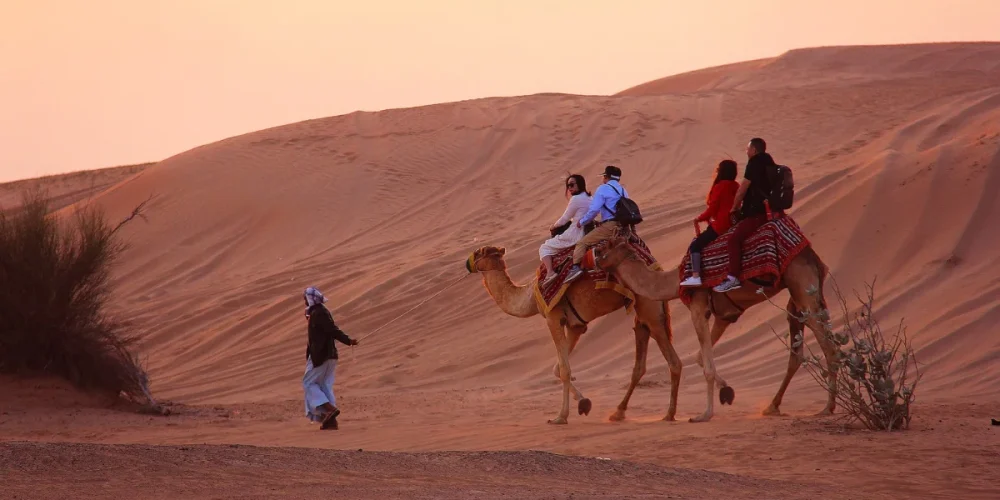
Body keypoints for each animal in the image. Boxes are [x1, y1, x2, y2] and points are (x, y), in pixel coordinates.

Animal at [464, 246, 682, 425]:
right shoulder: (576, 325)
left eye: (478, 252)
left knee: (673, 361)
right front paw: (584, 403)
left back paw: (669, 414)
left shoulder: (553, 318)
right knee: (640, 363)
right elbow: (557, 368)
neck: (530, 297)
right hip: (643, 313)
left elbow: (564, 369)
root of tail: (658, 269)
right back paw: (618, 413)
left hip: (649, 308)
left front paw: (560, 417)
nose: (467, 264)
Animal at [592, 236, 836, 423]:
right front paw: (726, 391)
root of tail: (812, 255)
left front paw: (705, 414)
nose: (592, 255)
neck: (675, 281)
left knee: (828, 346)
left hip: (801, 285)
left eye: (605, 245)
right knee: (798, 351)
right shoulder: (724, 314)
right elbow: (701, 358)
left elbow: (707, 365)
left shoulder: (698, 307)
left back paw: (828, 407)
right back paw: (772, 406)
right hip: (797, 299)